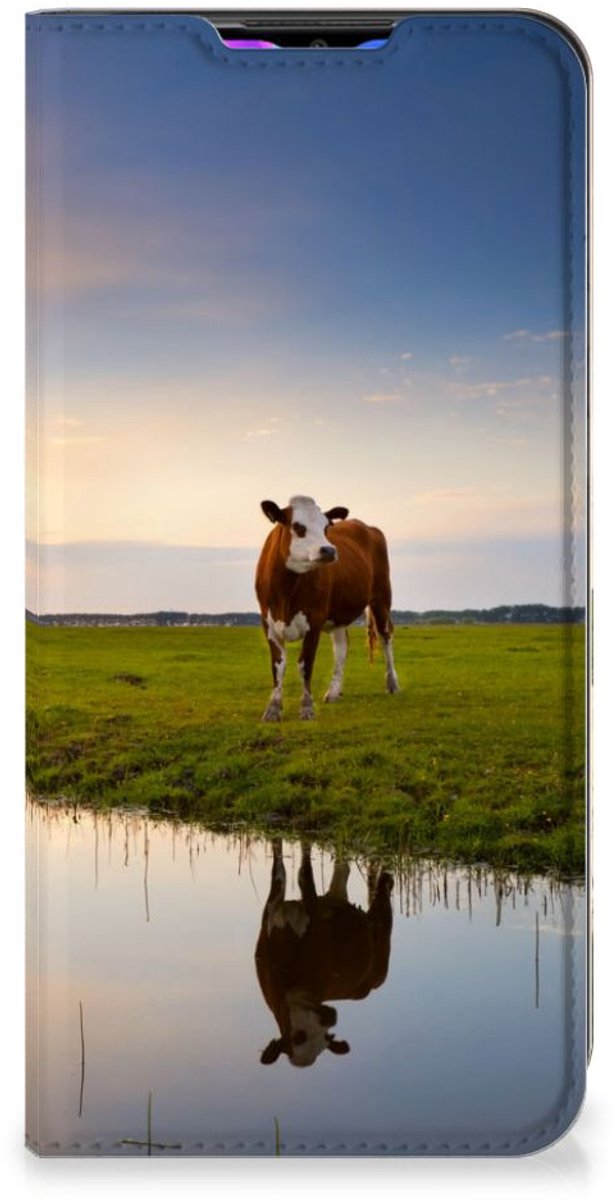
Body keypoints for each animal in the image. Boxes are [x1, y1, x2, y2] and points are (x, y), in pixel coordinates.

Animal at [255, 495, 400, 721]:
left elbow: (305, 664)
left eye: (326, 527)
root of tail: (366, 526)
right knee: (342, 646)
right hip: (338, 614)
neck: (286, 592)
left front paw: (306, 707)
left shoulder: (314, 621)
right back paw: (333, 692)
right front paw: (273, 708)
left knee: (386, 637)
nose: (329, 550)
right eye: (297, 526)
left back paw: (392, 683)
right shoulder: (268, 623)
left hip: (382, 597)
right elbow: (278, 665)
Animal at [255, 839, 394, 1068]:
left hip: (381, 952)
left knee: (383, 898)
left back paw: (385, 876)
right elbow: (279, 868)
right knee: (342, 870)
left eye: (325, 1038)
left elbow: (304, 874)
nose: (331, 1017)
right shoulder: (272, 910)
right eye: (297, 1037)